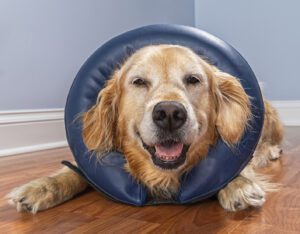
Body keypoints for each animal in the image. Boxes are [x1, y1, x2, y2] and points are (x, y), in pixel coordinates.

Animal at [7, 44, 284, 213]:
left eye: (193, 79)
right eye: (139, 82)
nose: (170, 114)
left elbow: (234, 170)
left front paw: (239, 185)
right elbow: (72, 172)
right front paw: (40, 188)